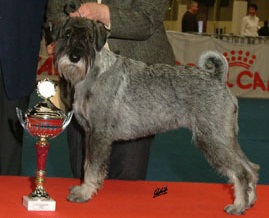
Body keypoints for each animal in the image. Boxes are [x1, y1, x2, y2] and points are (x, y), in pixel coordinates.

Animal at [52, 17, 258, 215]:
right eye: (67, 34)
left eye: (88, 38)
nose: (74, 57)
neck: (94, 73)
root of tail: (218, 79)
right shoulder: (89, 134)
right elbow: (87, 164)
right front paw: (83, 189)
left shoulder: (98, 135)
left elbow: (91, 168)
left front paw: (84, 192)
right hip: (225, 137)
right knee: (251, 168)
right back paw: (249, 201)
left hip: (212, 139)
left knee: (241, 172)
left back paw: (238, 206)